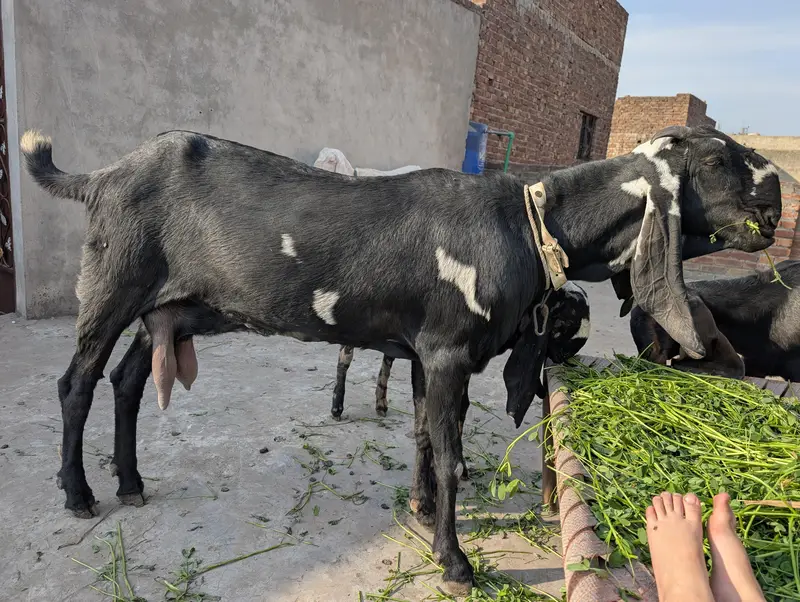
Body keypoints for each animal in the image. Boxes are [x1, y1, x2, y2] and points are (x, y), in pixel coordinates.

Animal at [21, 124, 780, 595]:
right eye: (718, 158)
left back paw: (130, 482)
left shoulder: (422, 353)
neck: (527, 221)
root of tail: (100, 176)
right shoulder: (448, 351)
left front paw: (417, 512)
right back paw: (79, 493)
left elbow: (419, 434)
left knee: (125, 380)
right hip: (114, 284)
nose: (776, 201)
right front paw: (454, 560)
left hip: (171, 308)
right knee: (77, 382)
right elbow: (448, 453)